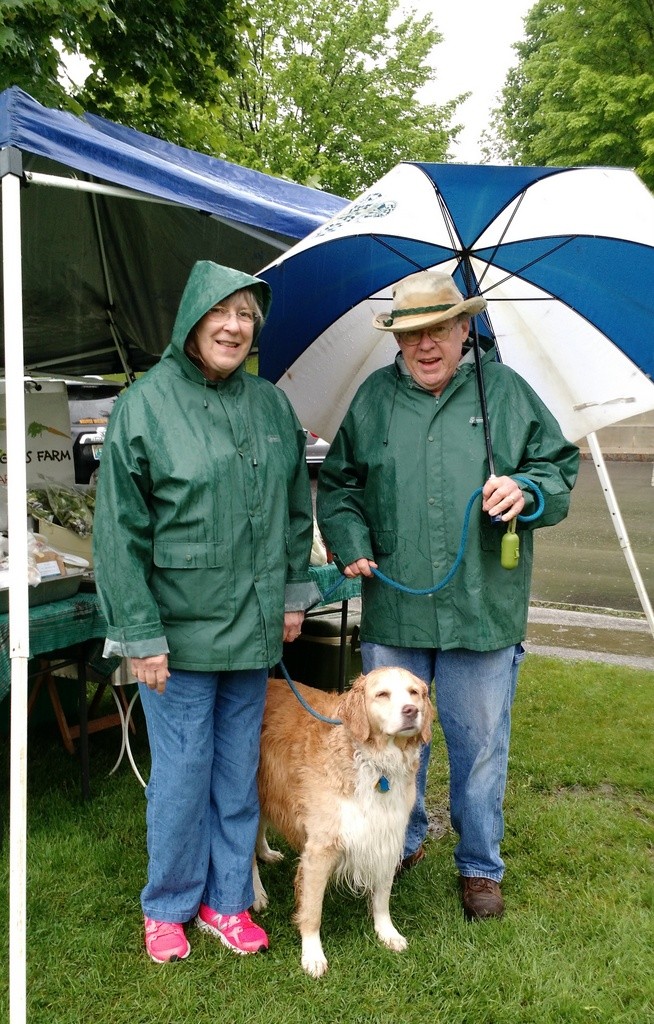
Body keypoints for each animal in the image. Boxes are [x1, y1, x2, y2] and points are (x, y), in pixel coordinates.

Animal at [251, 667, 433, 978]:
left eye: (414, 692)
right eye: (382, 694)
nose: (411, 710)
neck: (376, 764)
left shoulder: (387, 837)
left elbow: (382, 897)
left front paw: (387, 932)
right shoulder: (320, 850)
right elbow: (312, 911)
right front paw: (312, 955)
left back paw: (267, 853)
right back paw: (257, 894)